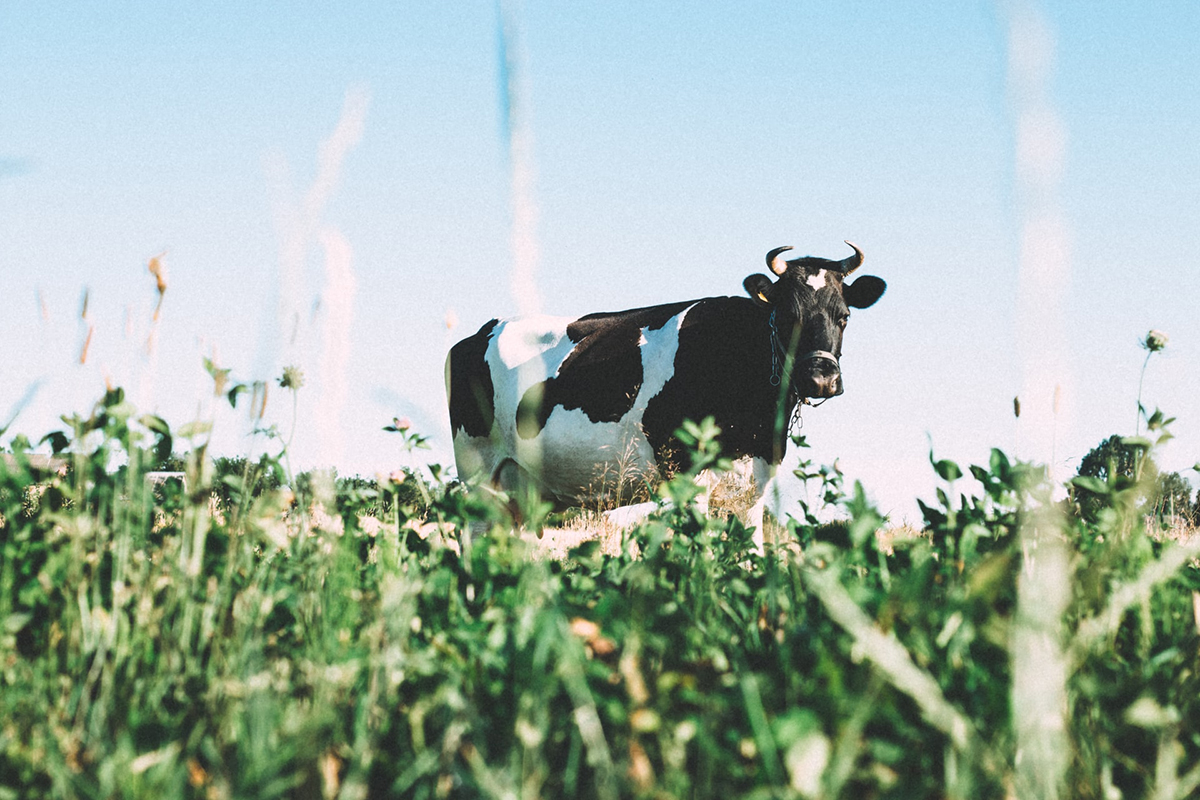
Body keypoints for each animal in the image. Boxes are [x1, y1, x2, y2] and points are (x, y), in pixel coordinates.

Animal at [446, 241, 888, 546]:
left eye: (844, 316)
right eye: (786, 315)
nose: (821, 379)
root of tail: (481, 331)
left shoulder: (755, 482)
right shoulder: (688, 473)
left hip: (522, 491)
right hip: (478, 472)